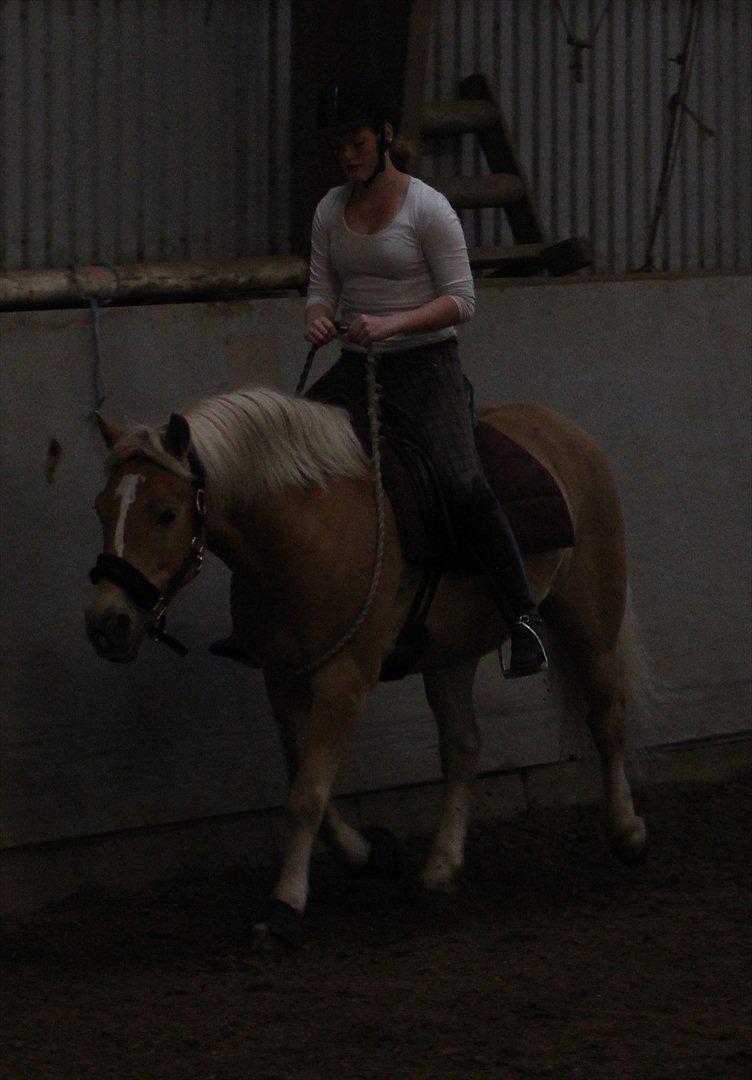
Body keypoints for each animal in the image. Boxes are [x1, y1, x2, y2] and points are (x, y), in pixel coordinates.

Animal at [83, 386, 648, 946]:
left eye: (165, 514)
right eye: (101, 509)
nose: (108, 623)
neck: (306, 529)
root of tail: (564, 430)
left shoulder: (345, 679)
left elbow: (306, 795)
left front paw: (283, 907)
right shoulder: (283, 675)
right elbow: (303, 778)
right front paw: (369, 853)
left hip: (590, 622)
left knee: (607, 720)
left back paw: (627, 833)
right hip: (452, 653)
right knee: (462, 746)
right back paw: (440, 868)